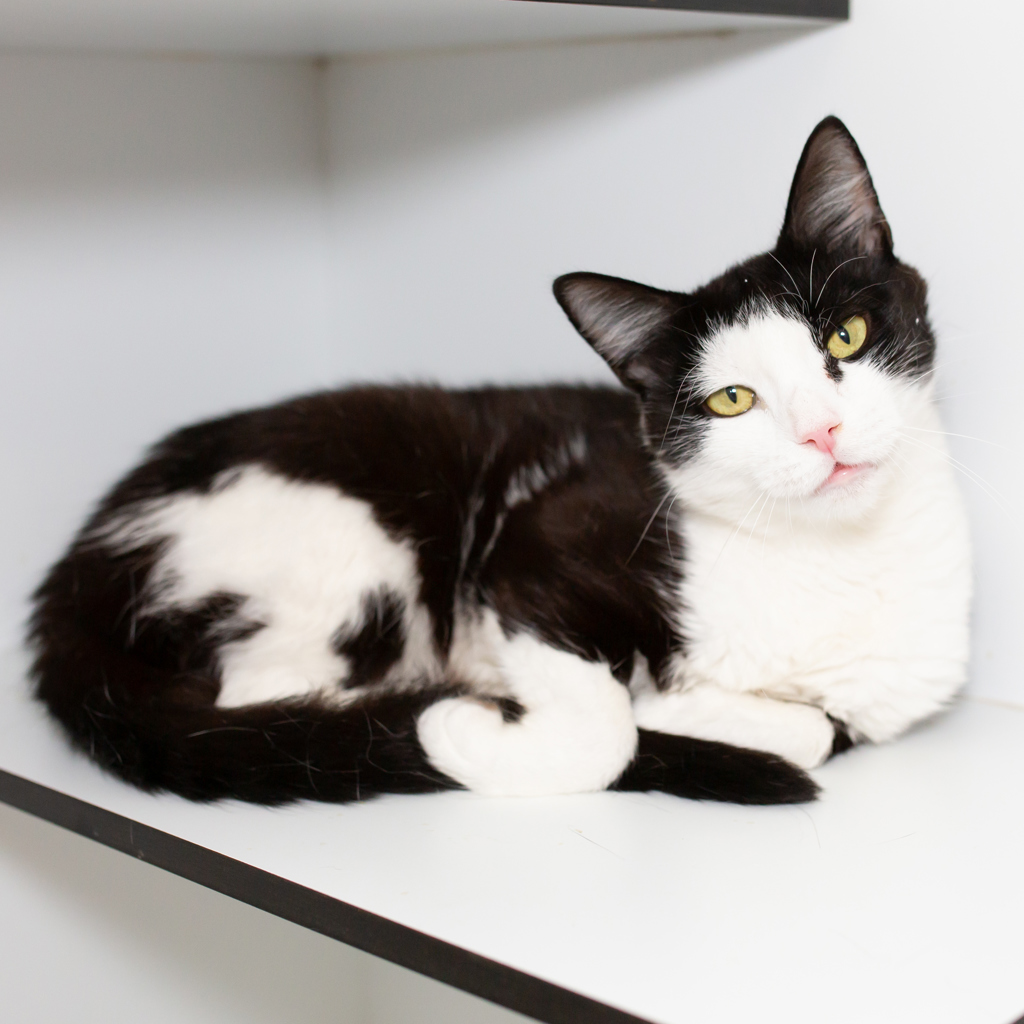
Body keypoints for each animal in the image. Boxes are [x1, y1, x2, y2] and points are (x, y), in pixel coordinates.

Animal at [28, 117, 971, 808]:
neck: (838, 563)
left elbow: (815, 727)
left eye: (844, 336)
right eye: (731, 399)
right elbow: (608, 725)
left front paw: (688, 705)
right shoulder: (537, 547)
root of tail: (81, 561)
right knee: (257, 702)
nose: (822, 431)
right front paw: (473, 727)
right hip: (343, 547)